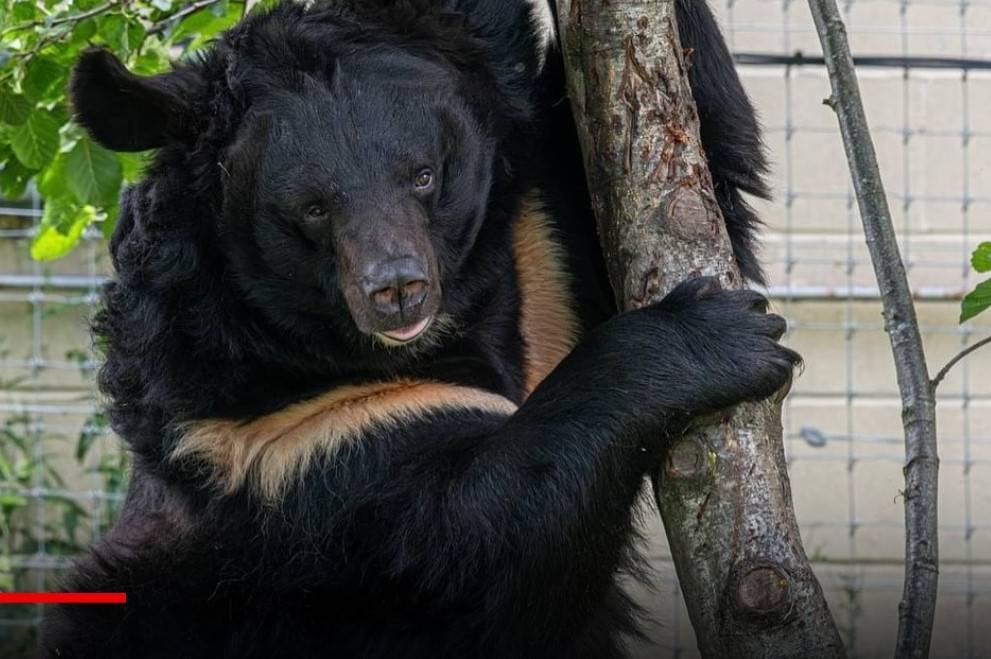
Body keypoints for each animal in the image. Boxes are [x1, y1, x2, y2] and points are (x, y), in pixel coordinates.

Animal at [40, 1, 800, 659]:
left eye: (423, 176)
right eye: (311, 208)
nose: (397, 290)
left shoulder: (542, 260)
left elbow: (684, 171)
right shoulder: (288, 449)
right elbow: (489, 538)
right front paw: (726, 334)